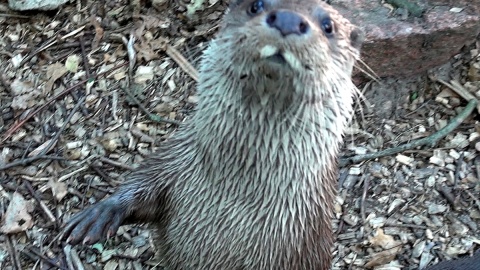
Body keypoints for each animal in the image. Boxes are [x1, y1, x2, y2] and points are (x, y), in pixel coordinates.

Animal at [64, 0, 364, 268]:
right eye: (256, 5)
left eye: (328, 26)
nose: (288, 20)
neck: (237, 194)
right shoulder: (175, 160)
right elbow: (144, 182)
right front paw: (102, 212)